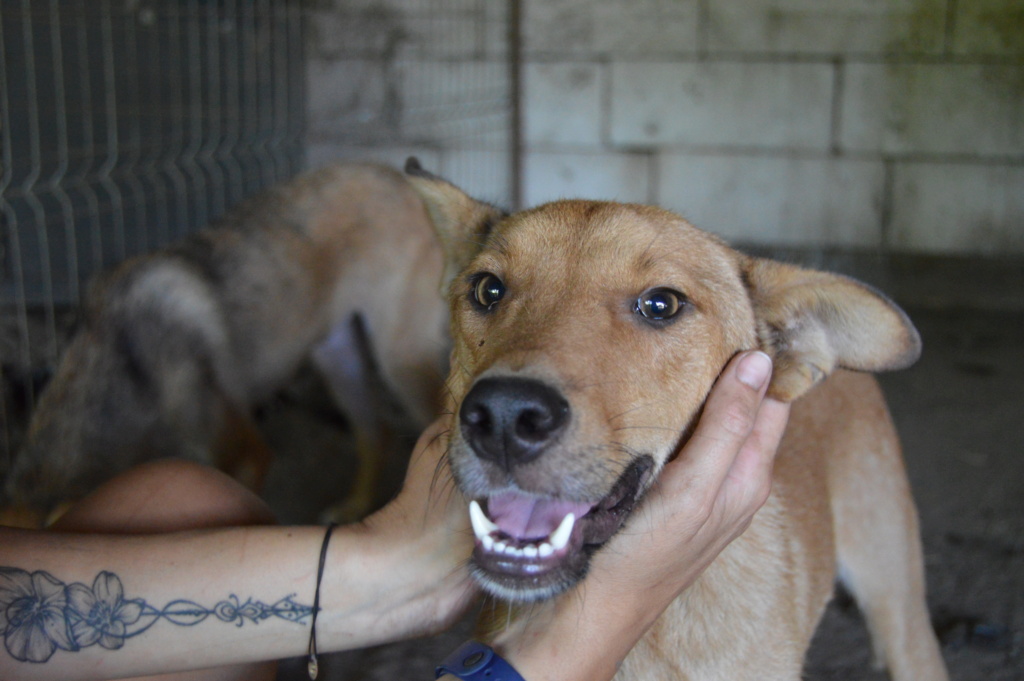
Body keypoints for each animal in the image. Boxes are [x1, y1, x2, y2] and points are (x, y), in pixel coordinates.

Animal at [4, 161, 446, 522]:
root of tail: (399, 176)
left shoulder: (247, 453)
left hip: (400, 364)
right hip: (336, 358)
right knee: (377, 433)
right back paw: (353, 507)